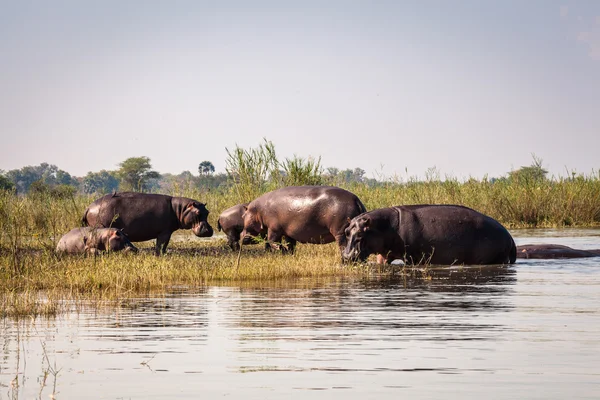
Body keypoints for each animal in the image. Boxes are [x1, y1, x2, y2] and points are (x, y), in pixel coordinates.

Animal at [82, 191, 213, 255]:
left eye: (207, 212)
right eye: (197, 212)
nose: (209, 230)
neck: (180, 209)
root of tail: (88, 207)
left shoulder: (167, 231)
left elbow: (163, 245)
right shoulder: (164, 232)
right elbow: (161, 244)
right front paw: (160, 254)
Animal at [342, 205, 516, 268]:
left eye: (361, 233)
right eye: (346, 231)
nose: (346, 256)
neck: (385, 226)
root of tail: (509, 236)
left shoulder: (411, 257)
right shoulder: (384, 254)